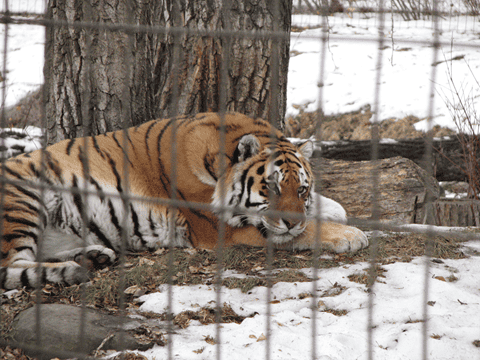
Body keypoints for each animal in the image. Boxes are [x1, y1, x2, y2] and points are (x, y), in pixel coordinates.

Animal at [0, 112, 368, 290]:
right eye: (271, 188)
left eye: (301, 190)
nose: (292, 220)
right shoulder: (222, 227)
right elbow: (305, 232)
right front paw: (351, 235)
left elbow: (327, 208)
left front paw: (335, 213)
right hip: (22, 200)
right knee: (11, 265)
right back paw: (74, 268)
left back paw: (93, 256)